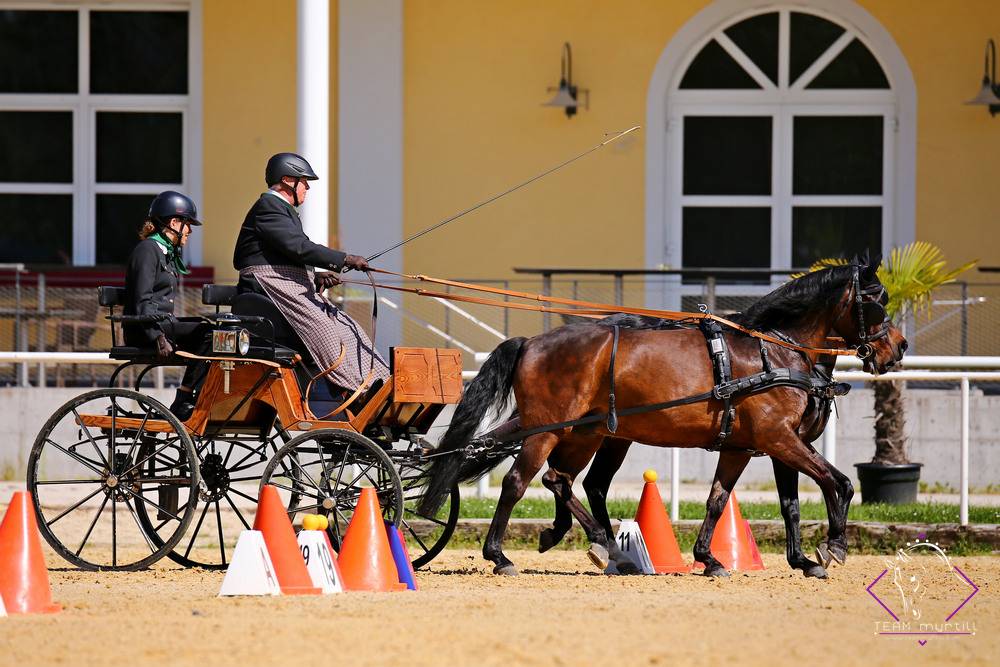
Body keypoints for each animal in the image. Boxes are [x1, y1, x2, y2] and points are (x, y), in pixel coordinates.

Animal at [422, 258, 908, 576]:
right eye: (877, 300)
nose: (898, 347)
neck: (775, 349)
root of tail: (532, 342)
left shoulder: (755, 446)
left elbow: (738, 501)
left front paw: (730, 559)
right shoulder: (779, 439)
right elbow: (837, 482)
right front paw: (834, 547)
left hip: (585, 434)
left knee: (563, 480)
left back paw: (602, 547)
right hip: (549, 432)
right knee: (518, 482)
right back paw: (501, 555)